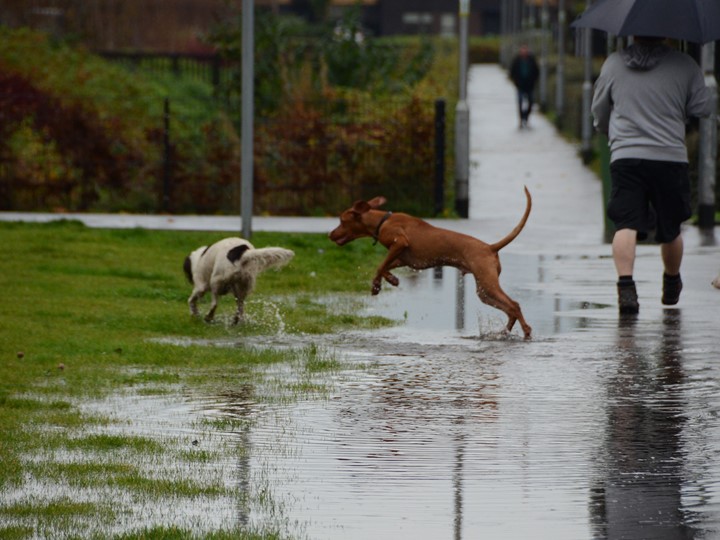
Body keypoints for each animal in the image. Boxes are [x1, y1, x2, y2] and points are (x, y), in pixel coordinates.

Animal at [330, 187, 532, 338]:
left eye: (341, 220)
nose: (330, 234)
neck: (382, 220)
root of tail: (490, 247)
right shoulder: (404, 258)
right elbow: (383, 267)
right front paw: (386, 281)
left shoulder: (400, 243)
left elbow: (380, 265)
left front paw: (378, 285)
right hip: (484, 291)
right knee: (509, 309)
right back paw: (505, 331)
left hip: (488, 284)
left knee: (514, 305)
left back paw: (526, 331)